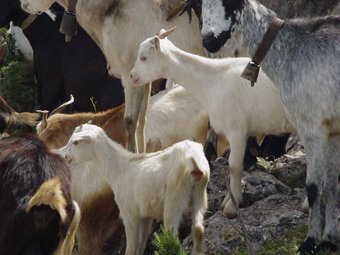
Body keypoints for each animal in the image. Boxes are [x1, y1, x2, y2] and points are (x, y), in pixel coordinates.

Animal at [56, 122, 210, 254]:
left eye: (76, 142)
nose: (65, 157)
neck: (119, 168)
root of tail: (193, 161)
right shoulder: (147, 215)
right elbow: (141, 244)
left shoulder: (129, 213)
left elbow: (131, 246)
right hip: (199, 193)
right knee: (198, 229)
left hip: (175, 196)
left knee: (172, 237)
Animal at [130, 28, 294, 218]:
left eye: (144, 57)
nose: (132, 76)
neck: (214, 80)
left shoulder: (237, 129)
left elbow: (234, 166)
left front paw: (232, 206)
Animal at [199, 0, 340, 252]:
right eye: (196, 4)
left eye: (231, 2)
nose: (208, 39)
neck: (290, 51)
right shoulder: (332, 128)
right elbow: (331, 186)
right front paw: (328, 240)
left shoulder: (312, 126)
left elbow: (314, 187)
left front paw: (310, 242)